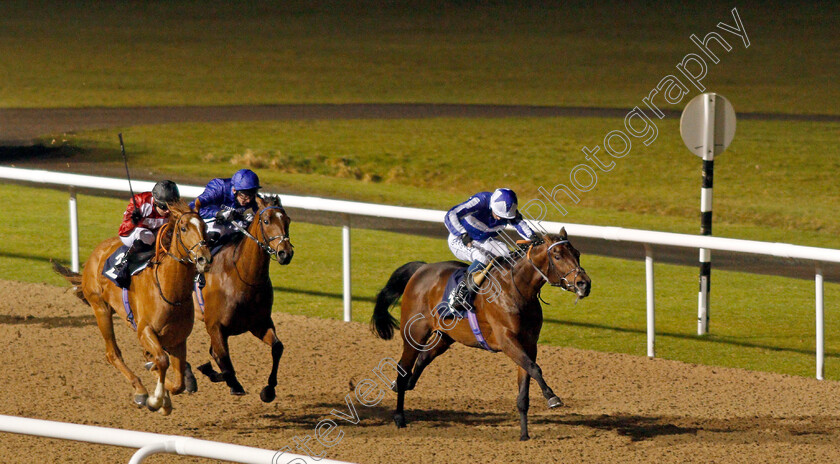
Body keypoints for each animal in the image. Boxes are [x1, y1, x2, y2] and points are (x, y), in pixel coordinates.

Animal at [53, 201, 210, 416]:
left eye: (205, 228)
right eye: (184, 228)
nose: (204, 259)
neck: (170, 291)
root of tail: (97, 251)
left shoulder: (178, 339)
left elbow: (178, 382)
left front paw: (165, 396)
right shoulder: (145, 330)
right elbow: (162, 360)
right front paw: (156, 400)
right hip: (100, 308)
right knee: (113, 353)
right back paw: (141, 391)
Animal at [192, 194, 294, 400]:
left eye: (287, 220)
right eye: (266, 220)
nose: (285, 253)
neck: (243, 277)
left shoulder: (259, 323)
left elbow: (277, 347)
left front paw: (268, 390)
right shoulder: (215, 326)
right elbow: (224, 363)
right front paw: (217, 375)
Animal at [370, 230, 592, 440]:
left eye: (577, 254)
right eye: (557, 256)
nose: (584, 284)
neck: (516, 289)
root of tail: (421, 269)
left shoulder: (529, 344)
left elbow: (525, 384)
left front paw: (524, 434)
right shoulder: (507, 340)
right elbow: (535, 368)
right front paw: (552, 397)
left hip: (445, 335)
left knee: (423, 358)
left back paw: (405, 386)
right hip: (415, 333)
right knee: (403, 368)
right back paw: (399, 417)